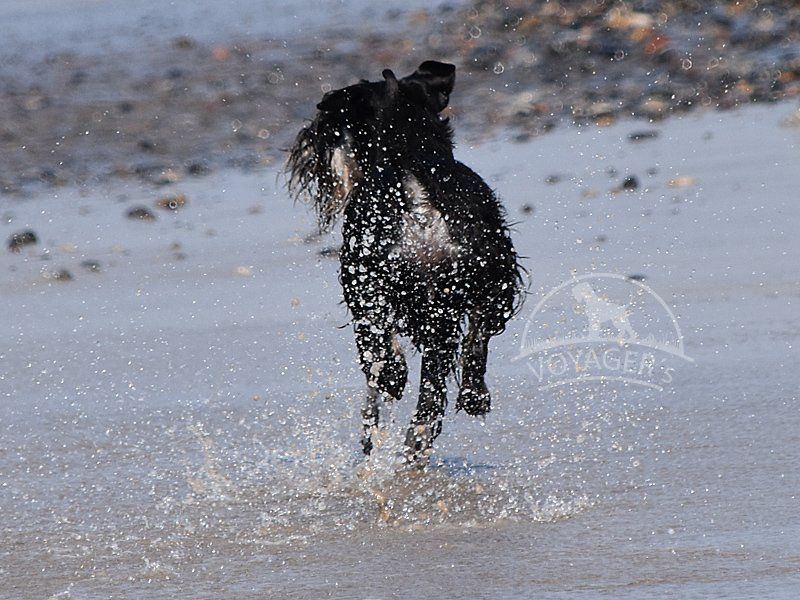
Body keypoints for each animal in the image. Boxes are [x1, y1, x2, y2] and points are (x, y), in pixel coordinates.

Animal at [287, 61, 524, 463]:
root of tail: (417, 198)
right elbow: (474, 342)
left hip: (386, 288)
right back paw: (431, 425)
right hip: (465, 289)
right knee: (445, 369)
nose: (305, 141)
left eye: (326, 123)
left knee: (399, 361)